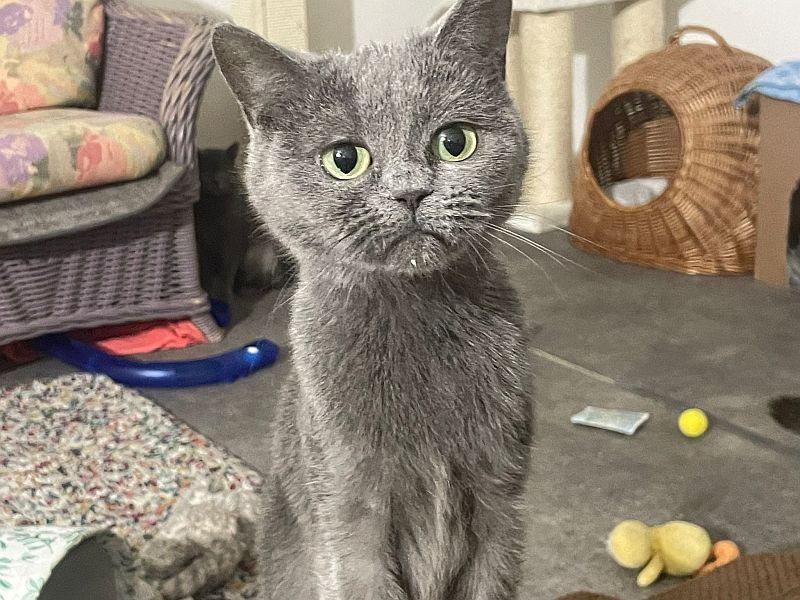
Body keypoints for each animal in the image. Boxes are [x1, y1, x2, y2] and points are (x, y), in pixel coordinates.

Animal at [195, 143, 289, 303]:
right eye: (205, 171)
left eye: (224, 170)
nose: (216, 180)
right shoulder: (205, 246)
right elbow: (206, 271)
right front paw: (207, 291)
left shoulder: (233, 241)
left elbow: (227, 272)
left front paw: (225, 295)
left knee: (270, 281)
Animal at [212, 0, 533, 598]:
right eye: (345, 159)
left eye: (455, 142)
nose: (411, 192)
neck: (415, 313)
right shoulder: (349, 516)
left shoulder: (502, 505)